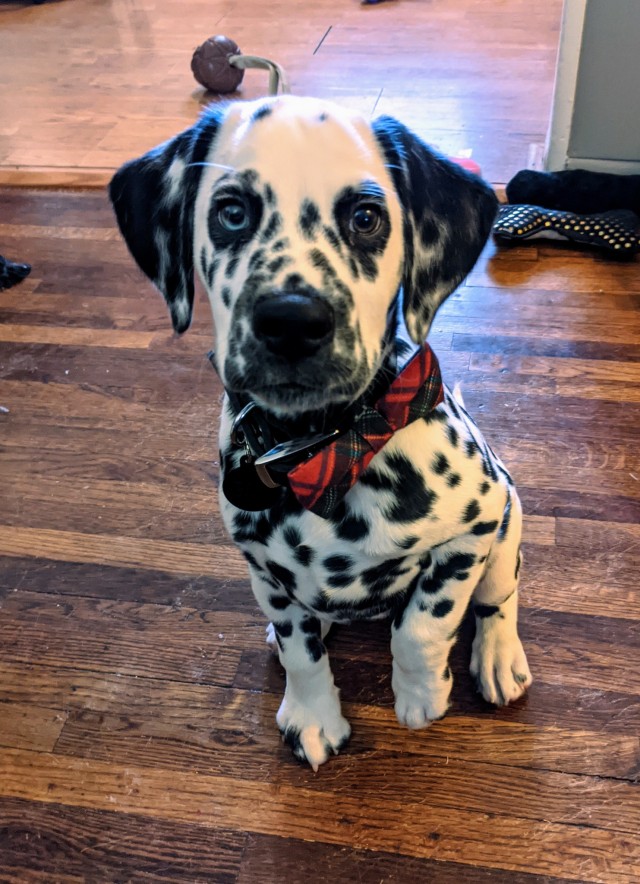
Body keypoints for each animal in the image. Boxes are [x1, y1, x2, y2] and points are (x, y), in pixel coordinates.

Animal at [112, 95, 532, 768]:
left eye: (365, 218)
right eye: (231, 212)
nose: (291, 321)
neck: (323, 449)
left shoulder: (470, 531)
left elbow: (422, 626)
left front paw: (421, 694)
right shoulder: (264, 571)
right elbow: (300, 653)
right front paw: (313, 717)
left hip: (509, 521)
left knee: (500, 596)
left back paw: (497, 656)